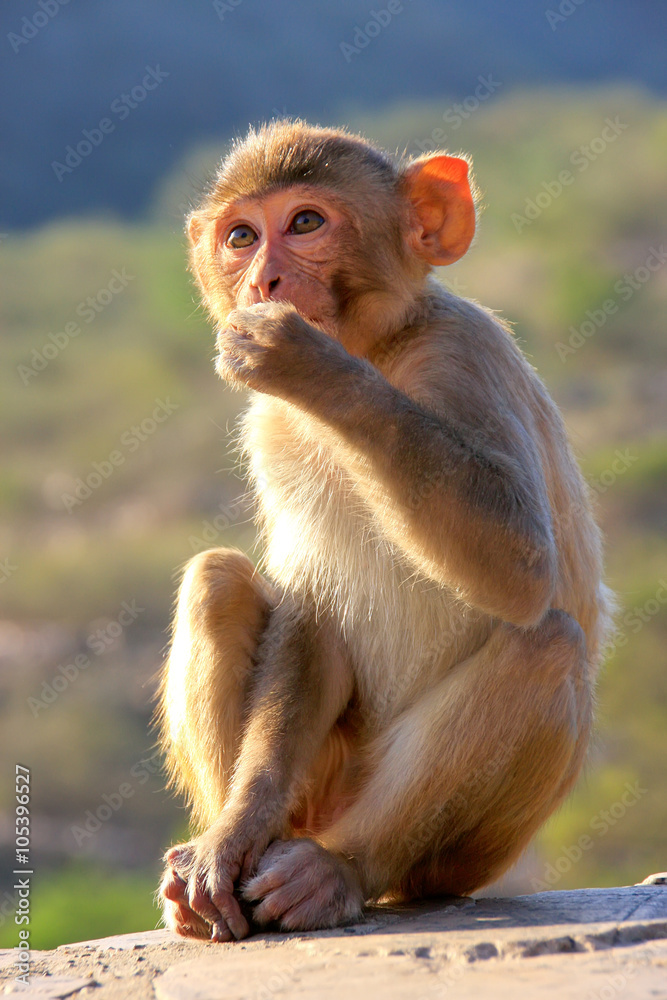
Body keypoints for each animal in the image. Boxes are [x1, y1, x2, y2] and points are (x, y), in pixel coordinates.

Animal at [156, 120, 614, 942]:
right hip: (321, 783)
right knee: (215, 578)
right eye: (241, 237)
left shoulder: (463, 355)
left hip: (476, 850)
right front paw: (232, 834)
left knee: (547, 644)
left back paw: (336, 871)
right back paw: (231, 863)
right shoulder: (271, 431)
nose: (264, 282)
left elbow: (522, 564)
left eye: (306, 222)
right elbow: (311, 615)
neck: (380, 348)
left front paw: (309, 364)